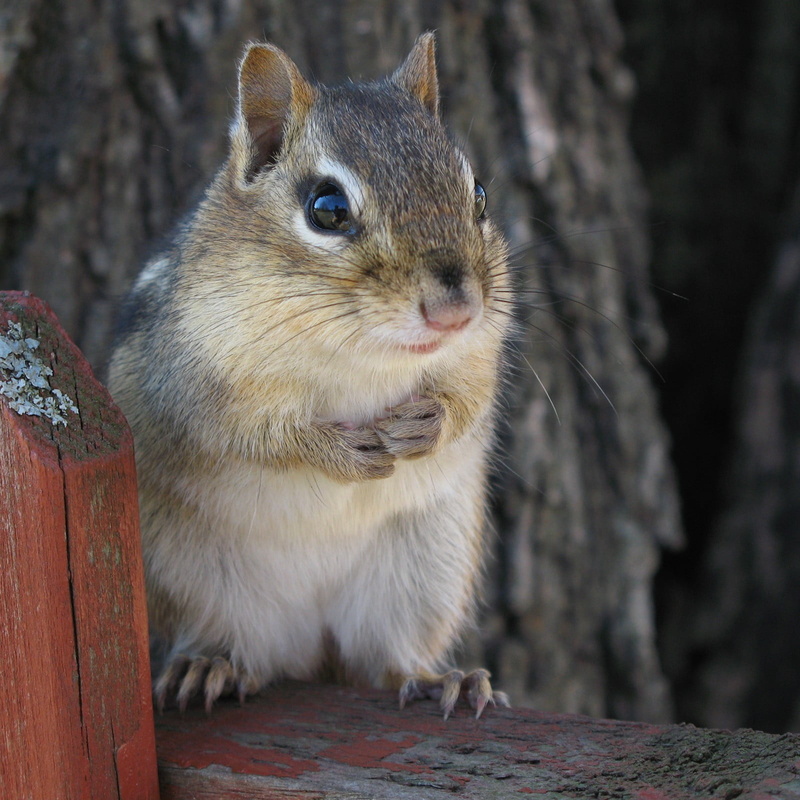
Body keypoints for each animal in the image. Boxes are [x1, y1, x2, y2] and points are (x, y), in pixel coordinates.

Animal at [108, 32, 512, 719]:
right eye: (327, 208)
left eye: (479, 193)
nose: (455, 310)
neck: (362, 354)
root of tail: (310, 650)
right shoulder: (191, 380)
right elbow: (253, 434)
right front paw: (333, 449)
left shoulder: (480, 348)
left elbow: (468, 399)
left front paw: (425, 424)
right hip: (199, 579)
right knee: (236, 643)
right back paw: (209, 666)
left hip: (421, 574)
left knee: (385, 659)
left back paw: (440, 680)